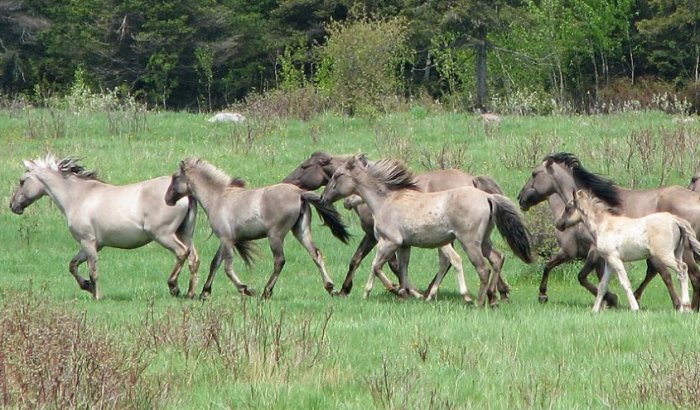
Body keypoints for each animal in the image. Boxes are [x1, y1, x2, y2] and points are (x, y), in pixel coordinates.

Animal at [8, 155, 200, 300]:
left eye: (22, 181)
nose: (13, 206)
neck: (78, 196)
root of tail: (186, 193)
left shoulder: (88, 241)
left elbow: (93, 271)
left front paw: (96, 296)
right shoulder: (94, 244)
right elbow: (72, 265)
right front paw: (86, 286)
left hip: (163, 235)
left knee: (182, 253)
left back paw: (174, 287)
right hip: (184, 233)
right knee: (194, 259)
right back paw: (191, 294)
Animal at [165, 157, 350, 298]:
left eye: (175, 177)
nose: (167, 200)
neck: (218, 198)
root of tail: (299, 193)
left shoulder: (227, 239)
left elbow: (227, 267)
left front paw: (245, 289)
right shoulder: (226, 240)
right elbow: (215, 263)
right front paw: (205, 292)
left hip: (275, 235)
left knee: (279, 261)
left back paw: (266, 292)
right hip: (301, 231)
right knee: (316, 254)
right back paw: (330, 287)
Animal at [284, 151, 508, 298]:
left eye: (305, 166)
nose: (287, 181)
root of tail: (473, 180)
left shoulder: (380, 237)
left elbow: (381, 263)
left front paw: (397, 289)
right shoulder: (385, 238)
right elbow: (364, 260)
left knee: (460, 261)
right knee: (488, 258)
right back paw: (497, 292)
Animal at [552, 191, 700, 312]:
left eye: (568, 207)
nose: (558, 224)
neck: (604, 225)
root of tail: (675, 220)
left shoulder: (615, 259)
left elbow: (625, 283)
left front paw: (634, 308)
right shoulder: (609, 262)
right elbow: (602, 286)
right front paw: (595, 310)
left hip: (665, 255)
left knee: (682, 269)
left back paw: (686, 307)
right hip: (677, 253)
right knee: (682, 272)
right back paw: (685, 307)